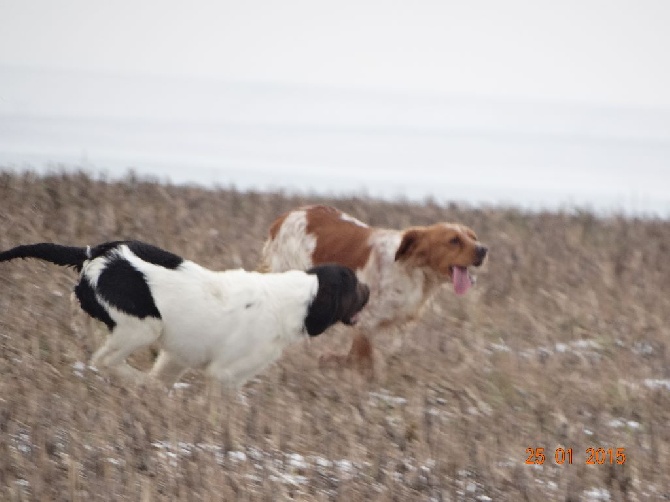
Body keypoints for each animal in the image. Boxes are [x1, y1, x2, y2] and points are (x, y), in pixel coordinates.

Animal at [0, 242, 370, 388]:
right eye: (353, 287)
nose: (370, 291)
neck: (294, 299)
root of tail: (94, 253)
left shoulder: (176, 357)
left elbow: (162, 380)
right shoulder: (225, 375)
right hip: (143, 326)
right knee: (103, 360)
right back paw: (132, 379)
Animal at [262, 204, 488, 372]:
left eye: (473, 237)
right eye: (454, 240)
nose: (483, 250)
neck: (411, 271)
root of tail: (283, 218)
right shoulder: (366, 321)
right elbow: (362, 361)